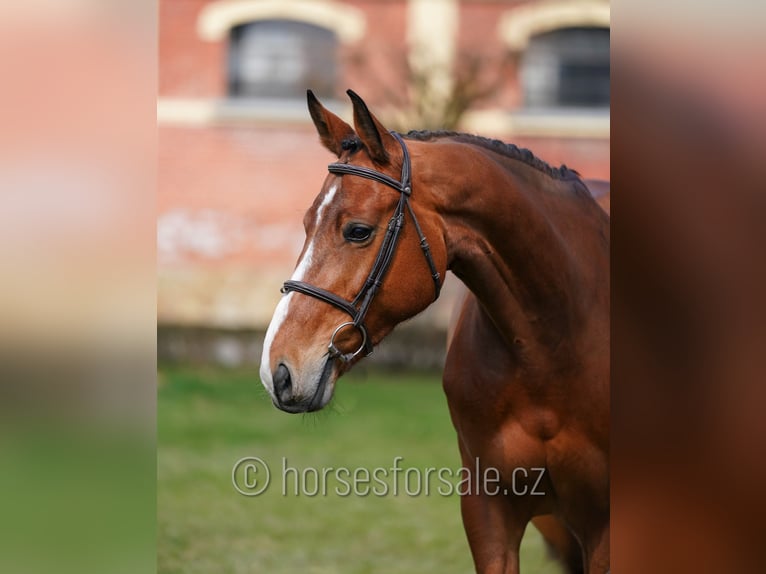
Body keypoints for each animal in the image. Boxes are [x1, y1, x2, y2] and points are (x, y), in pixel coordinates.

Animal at [259, 89, 610, 573]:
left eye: (358, 231)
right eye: (308, 224)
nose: (278, 369)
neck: (553, 341)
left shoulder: (605, 528)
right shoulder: (489, 511)